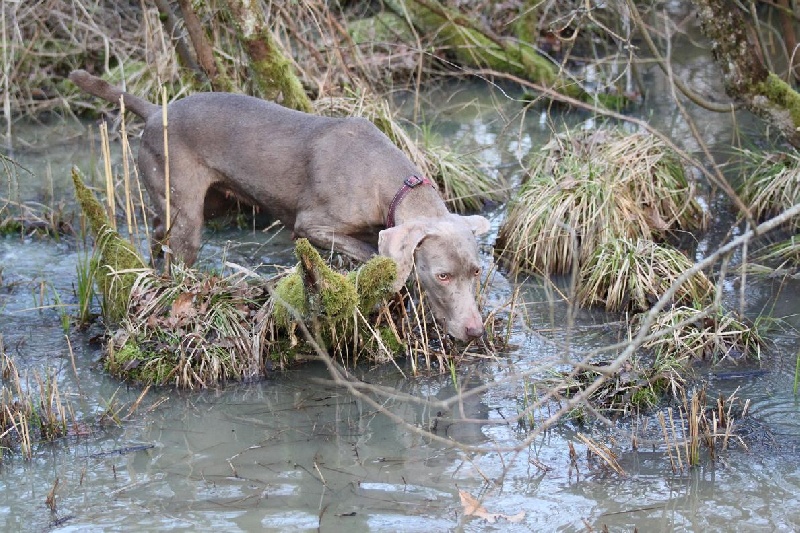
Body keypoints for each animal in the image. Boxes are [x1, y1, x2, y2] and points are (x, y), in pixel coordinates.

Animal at [70, 69, 494, 340]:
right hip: (188, 212)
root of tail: (156, 110)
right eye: (442, 276)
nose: (475, 331)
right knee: (178, 253)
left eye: (476, 272)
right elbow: (367, 252)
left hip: (208, 203)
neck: (392, 184)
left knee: (159, 229)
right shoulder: (311, 225)